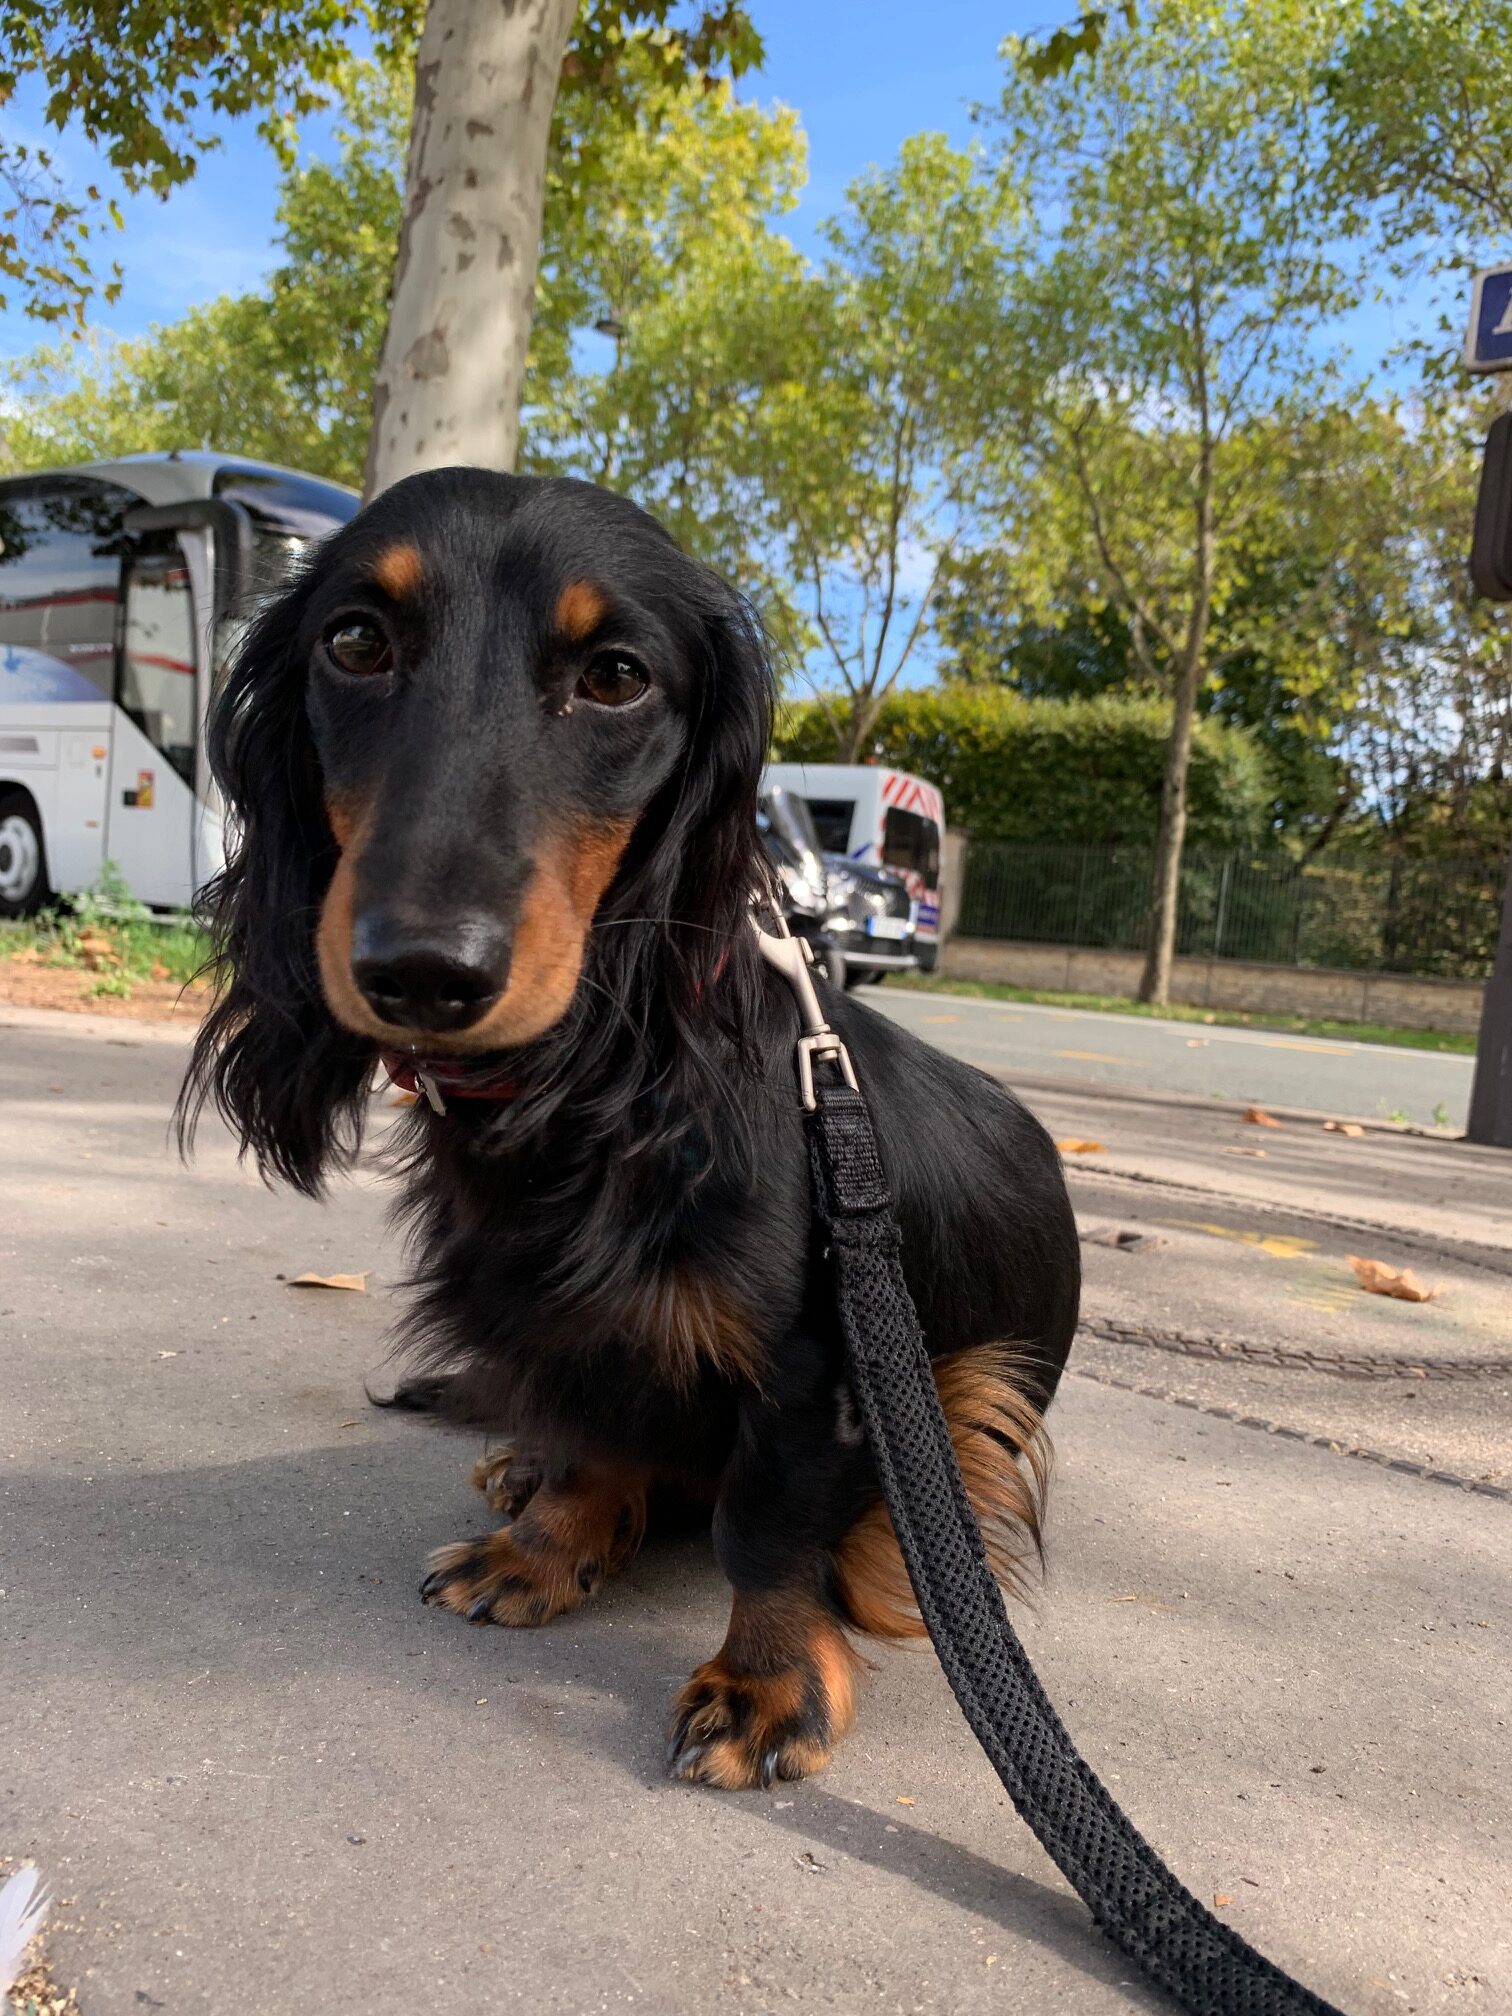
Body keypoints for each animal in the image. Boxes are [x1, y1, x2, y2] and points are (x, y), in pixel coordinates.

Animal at [183, 475, 1080, 1798]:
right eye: (353, 642)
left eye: (616, 676)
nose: (422, 973)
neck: (590, 1087)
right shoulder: (565, 1326)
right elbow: (591, 1427)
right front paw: (546, 1544)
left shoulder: (822, 1369)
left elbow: (771, 1526)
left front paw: (768, 1685)